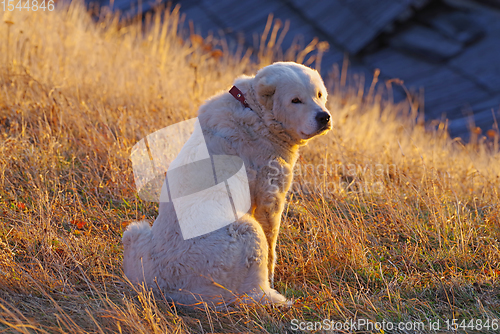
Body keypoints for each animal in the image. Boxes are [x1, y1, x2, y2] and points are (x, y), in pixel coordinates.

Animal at [122, 60, 332, 306]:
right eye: (295, 100)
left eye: (319, 95)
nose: (324, 117)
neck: (256, 111)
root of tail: (165, 287)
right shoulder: (270, 193)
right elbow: (272, 243)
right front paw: (273, 277)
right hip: (248, 229)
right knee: (252, 291)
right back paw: (275, 297)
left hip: (135, 232)